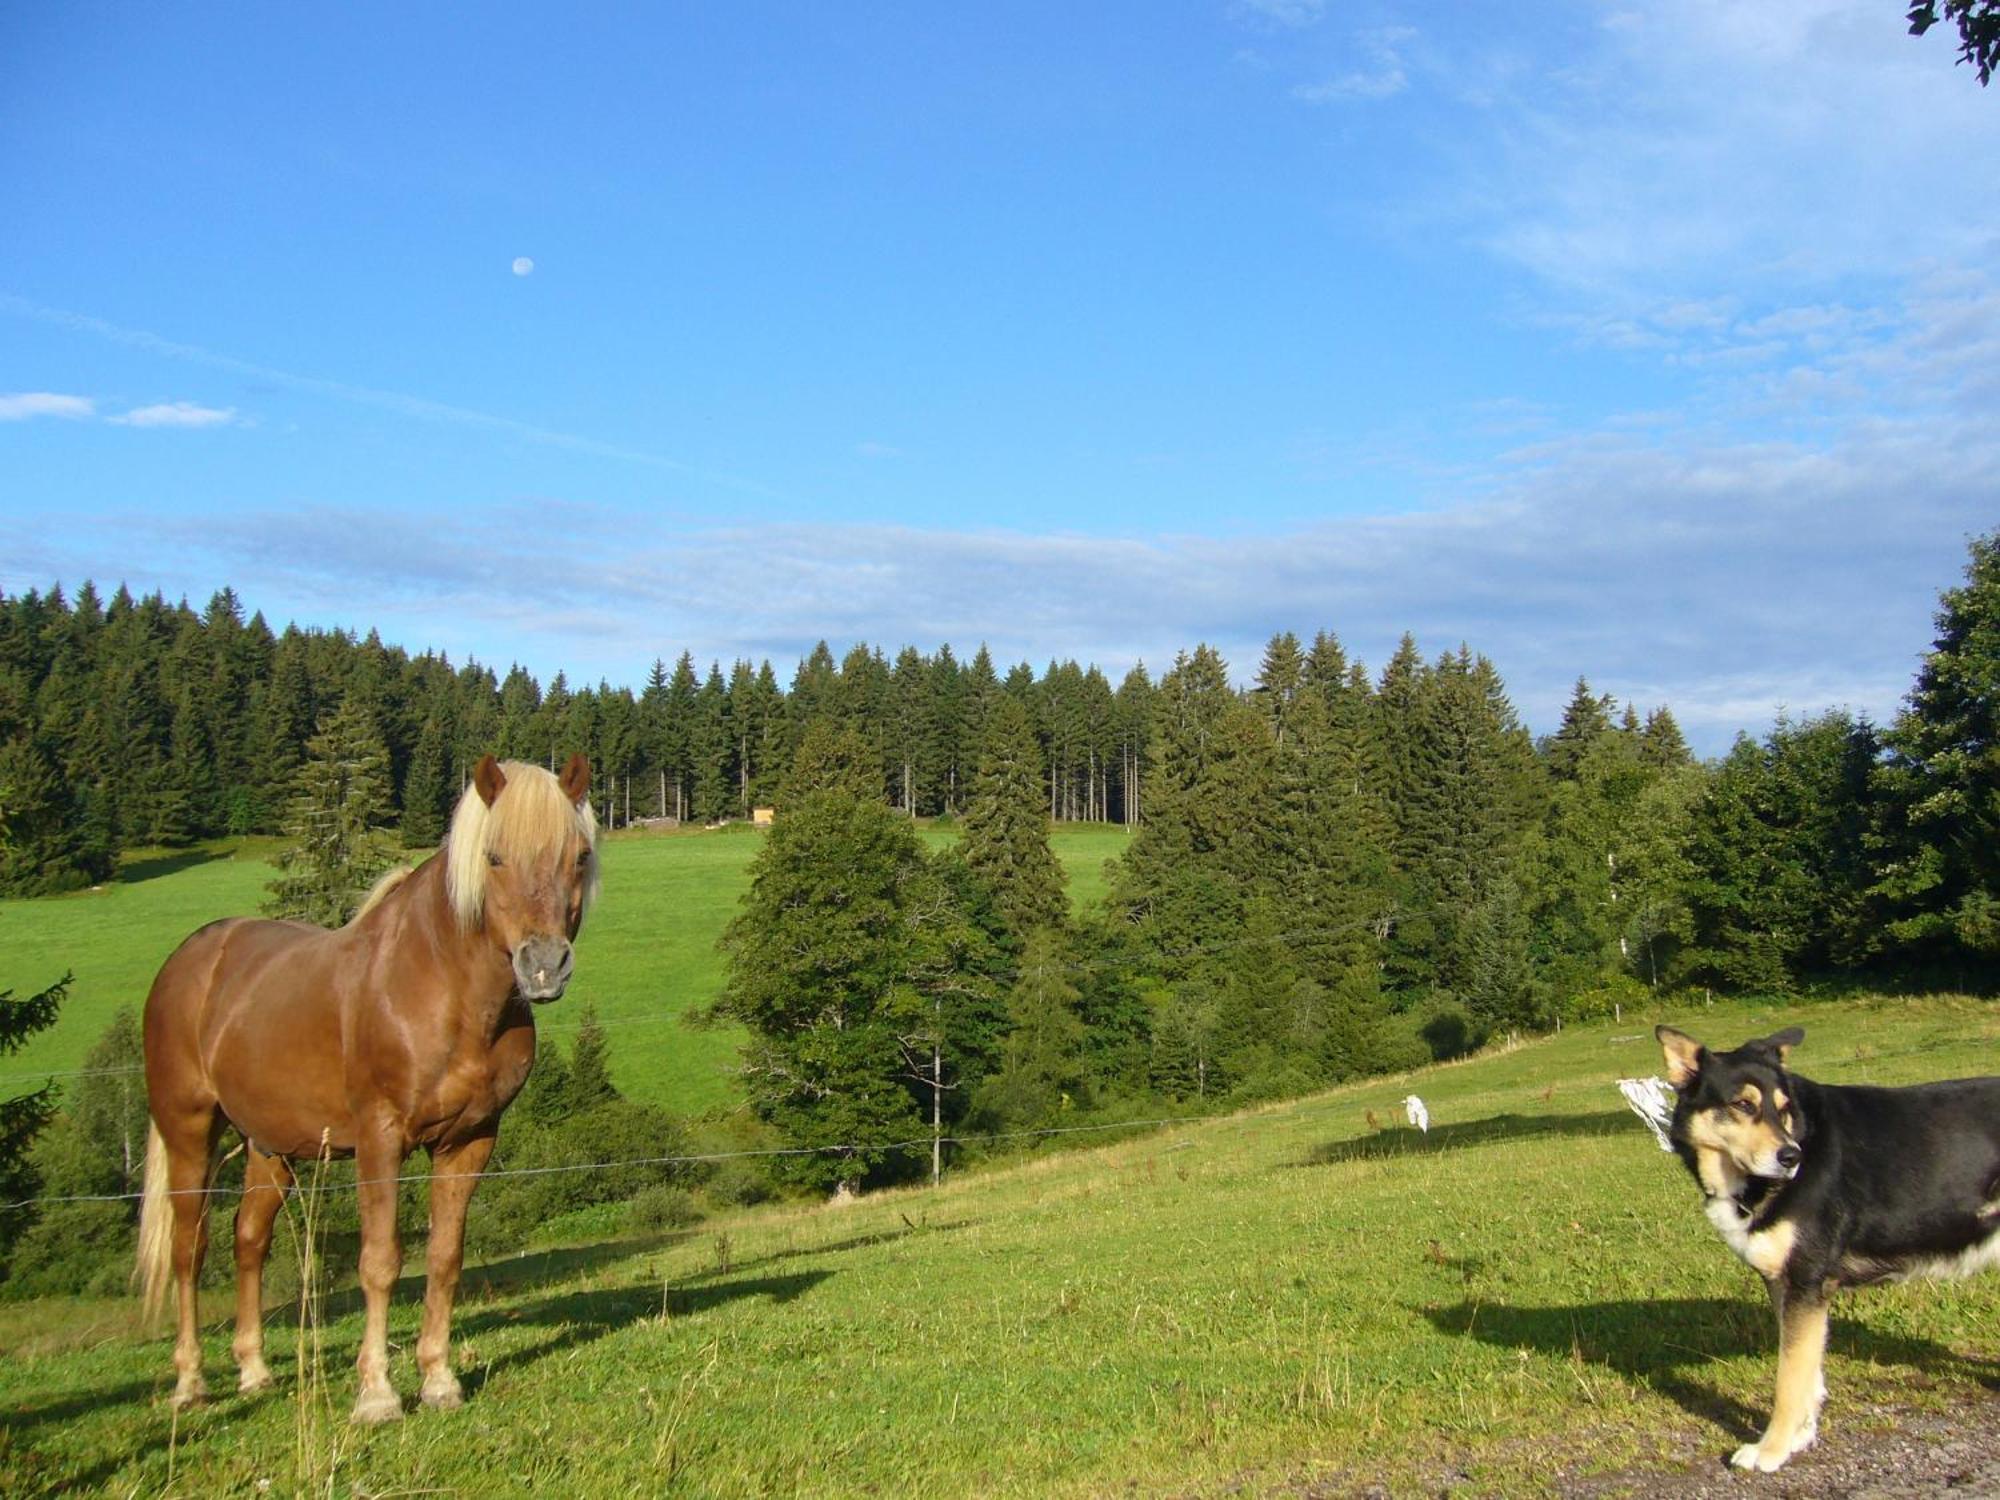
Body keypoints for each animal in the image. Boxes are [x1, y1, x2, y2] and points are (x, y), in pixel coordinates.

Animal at [138, 756, 596, 1424]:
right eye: (494, 857)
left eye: (579, 856)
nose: (543, 966)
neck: (439, 986)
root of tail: (191, 956)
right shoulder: (381, 1140)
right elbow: (380, 1262)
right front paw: (377, 1393)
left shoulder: (469, 1142)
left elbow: (445, 1257)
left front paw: (438, 1379)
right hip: (189, 1131)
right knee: (188, 1249)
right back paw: (190, 1382)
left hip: (270, 1147)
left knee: (248, 1240)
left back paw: (254, 1371)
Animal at [1664, 1032, 2000, 1472]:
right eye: (1743, 1105)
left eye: (1783, 1109)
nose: (1792, 1157)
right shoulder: (1786, 1287)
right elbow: (1808, 1375)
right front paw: (1799, 1438)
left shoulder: (1806, 1284)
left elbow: (1788, 1380)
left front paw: (1770, 1449)